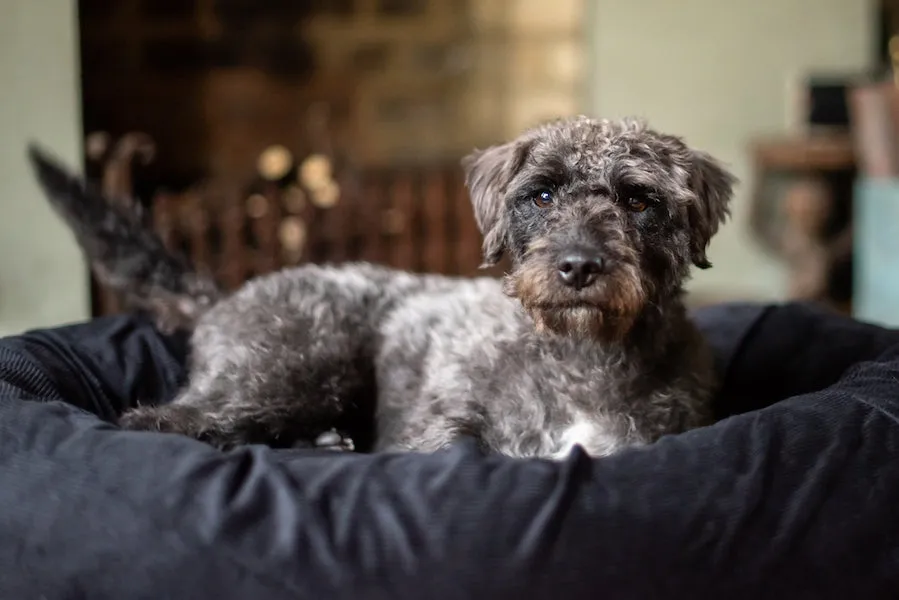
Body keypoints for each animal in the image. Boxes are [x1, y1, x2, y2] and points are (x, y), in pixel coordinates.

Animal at [28, 115, 736, 458]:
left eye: (639, 200)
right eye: (541, 194)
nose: (579, 265)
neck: (580, 359)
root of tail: (225, 296)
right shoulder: (432, 431)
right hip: (297, 365)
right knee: (162, 421)